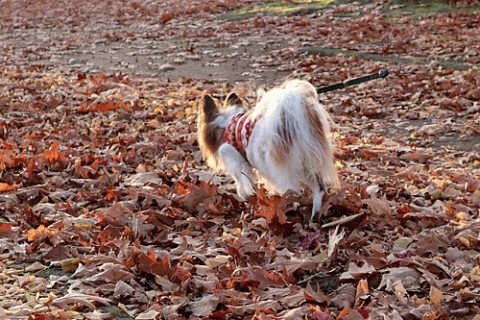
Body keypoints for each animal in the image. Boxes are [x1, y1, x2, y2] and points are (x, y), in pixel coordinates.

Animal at [197, 79, 340, 221]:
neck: (226, 126)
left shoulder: (234, 160)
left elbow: (241, 182)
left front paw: (246, 195)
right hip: (307, 162)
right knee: (318, 187)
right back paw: (314, 215)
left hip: (278, 165)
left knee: (292, 189)